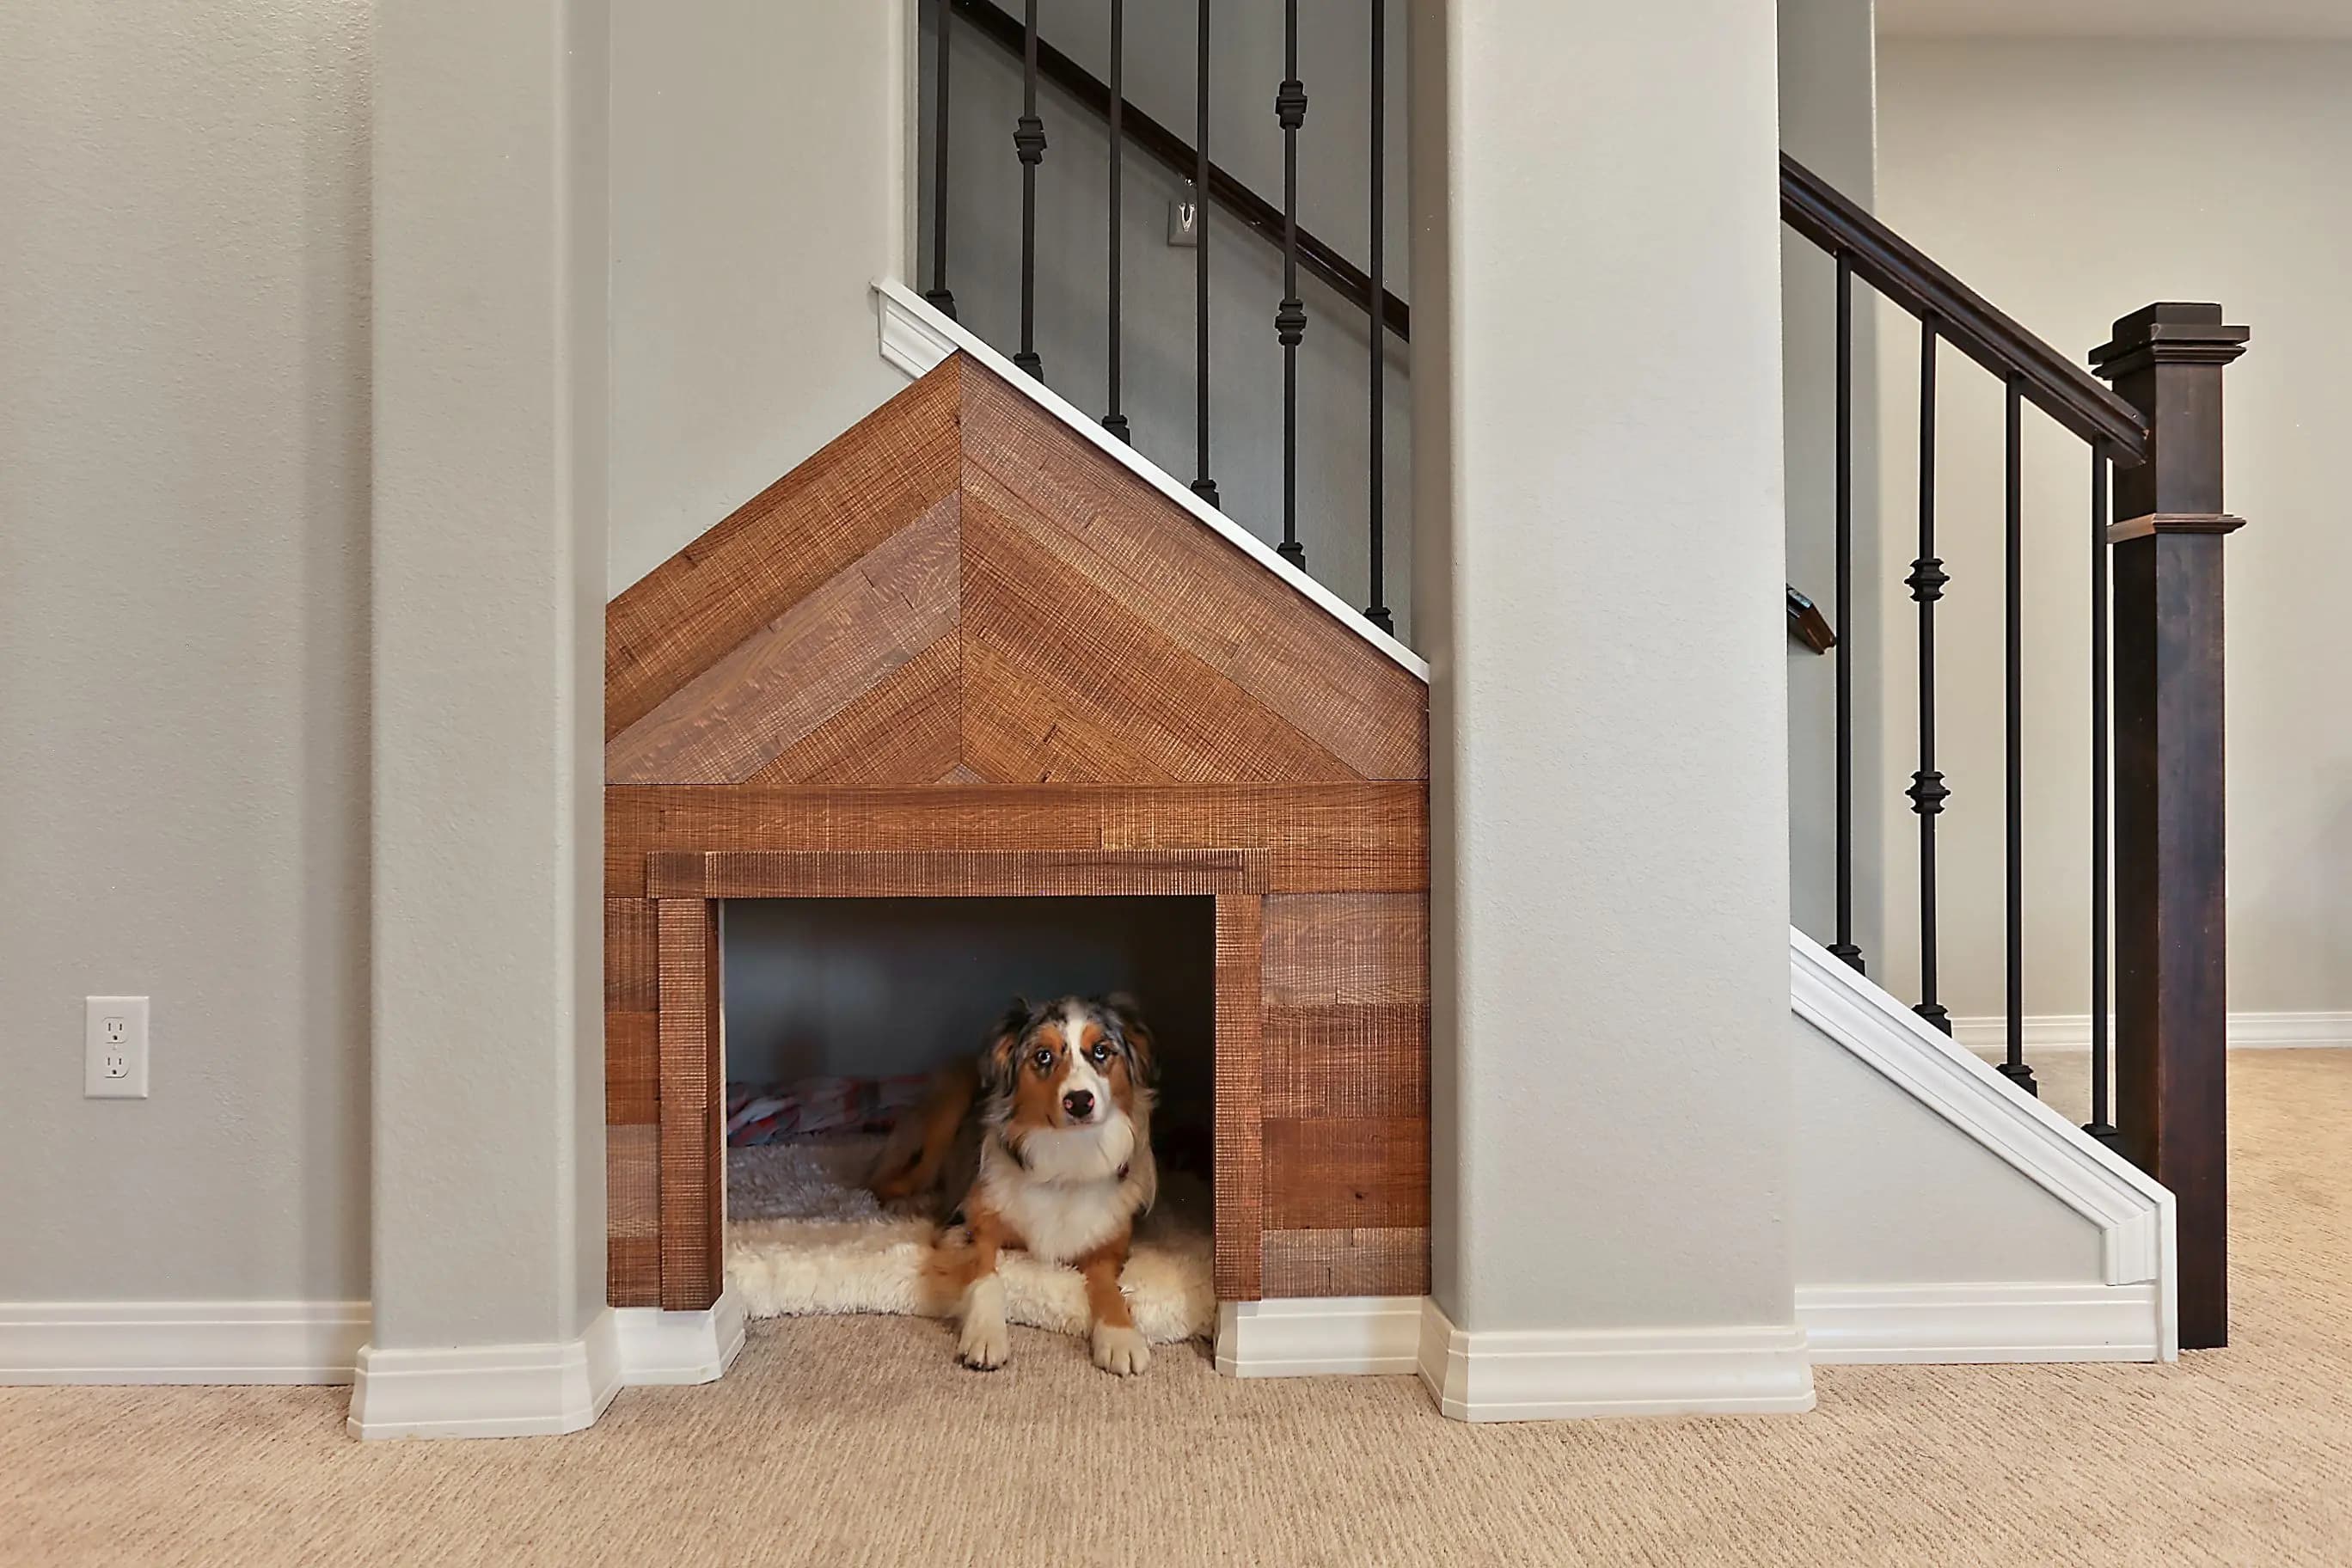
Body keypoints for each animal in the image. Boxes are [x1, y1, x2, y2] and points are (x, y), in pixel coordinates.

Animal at [870, 1001, 1161, 1381]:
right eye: (1043, 1056)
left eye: (1101, 1051)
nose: (1079, 1101)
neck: (1068, 1154)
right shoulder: (966, 1226)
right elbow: (986, 1276)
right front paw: (985, 1335)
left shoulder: (1108, 1248)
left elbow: (1110, 1289)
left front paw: (1121, 1338)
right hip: (948, 1108)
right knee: (890, 1177)